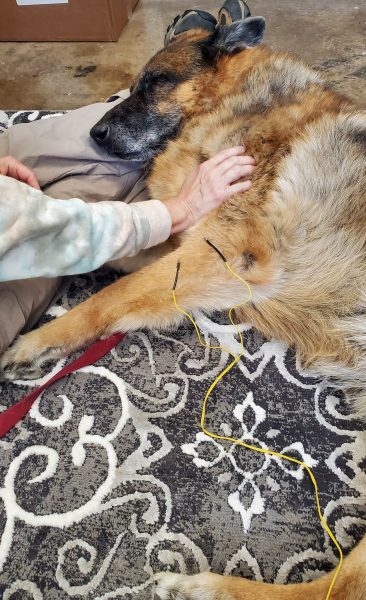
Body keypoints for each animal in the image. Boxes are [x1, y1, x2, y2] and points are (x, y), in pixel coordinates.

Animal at [0, 10, 366, 600]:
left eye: (154, 83)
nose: (94, 134)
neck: (238, 106)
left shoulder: (223, 255)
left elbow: (113, 295)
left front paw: (40, 339)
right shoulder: (182, 239)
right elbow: (119, 254)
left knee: (342, 586)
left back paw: (205, 587)